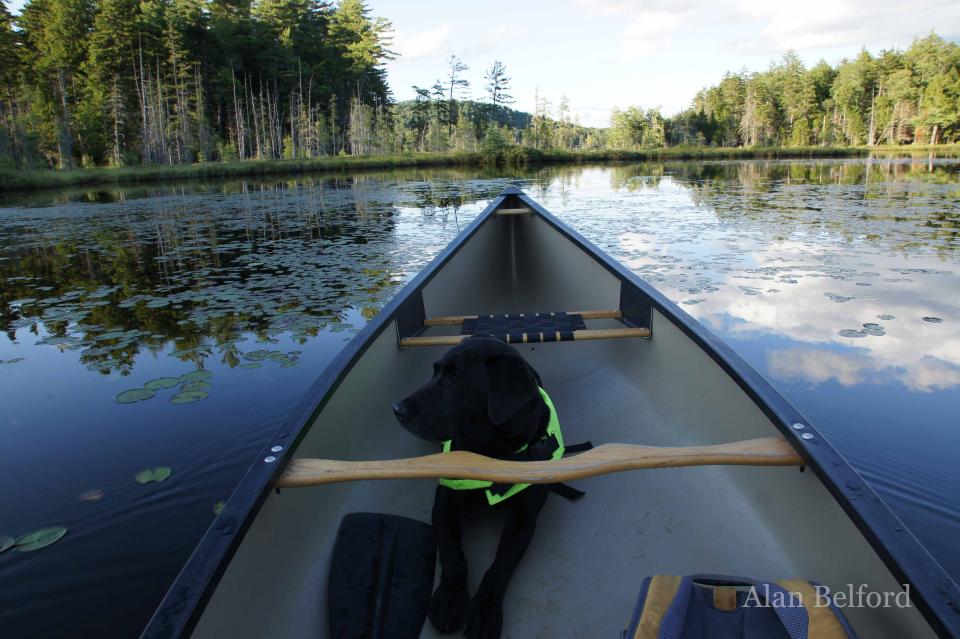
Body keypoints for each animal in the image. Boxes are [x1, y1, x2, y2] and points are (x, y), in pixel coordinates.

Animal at [392, 338, 556, 639]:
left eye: (454, 379)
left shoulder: (524, 521)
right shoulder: (444, 505)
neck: (489, 452)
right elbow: (454, 555)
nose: (397, 409)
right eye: (434, 373)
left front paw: (485, 612)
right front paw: (450, 599)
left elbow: (500, 568)